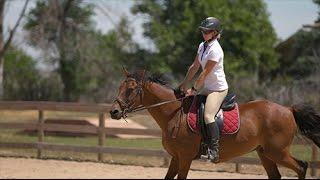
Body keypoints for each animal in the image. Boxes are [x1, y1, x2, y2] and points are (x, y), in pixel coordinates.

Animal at [109, 68, 320, 179]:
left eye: (131, 90)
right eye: (119, 87)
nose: (114, 112)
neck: (174, 114)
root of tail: (288, 109)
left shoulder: (185, 158)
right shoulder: (176, 157)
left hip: (277, 152)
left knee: (301, 166)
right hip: (265, 153)